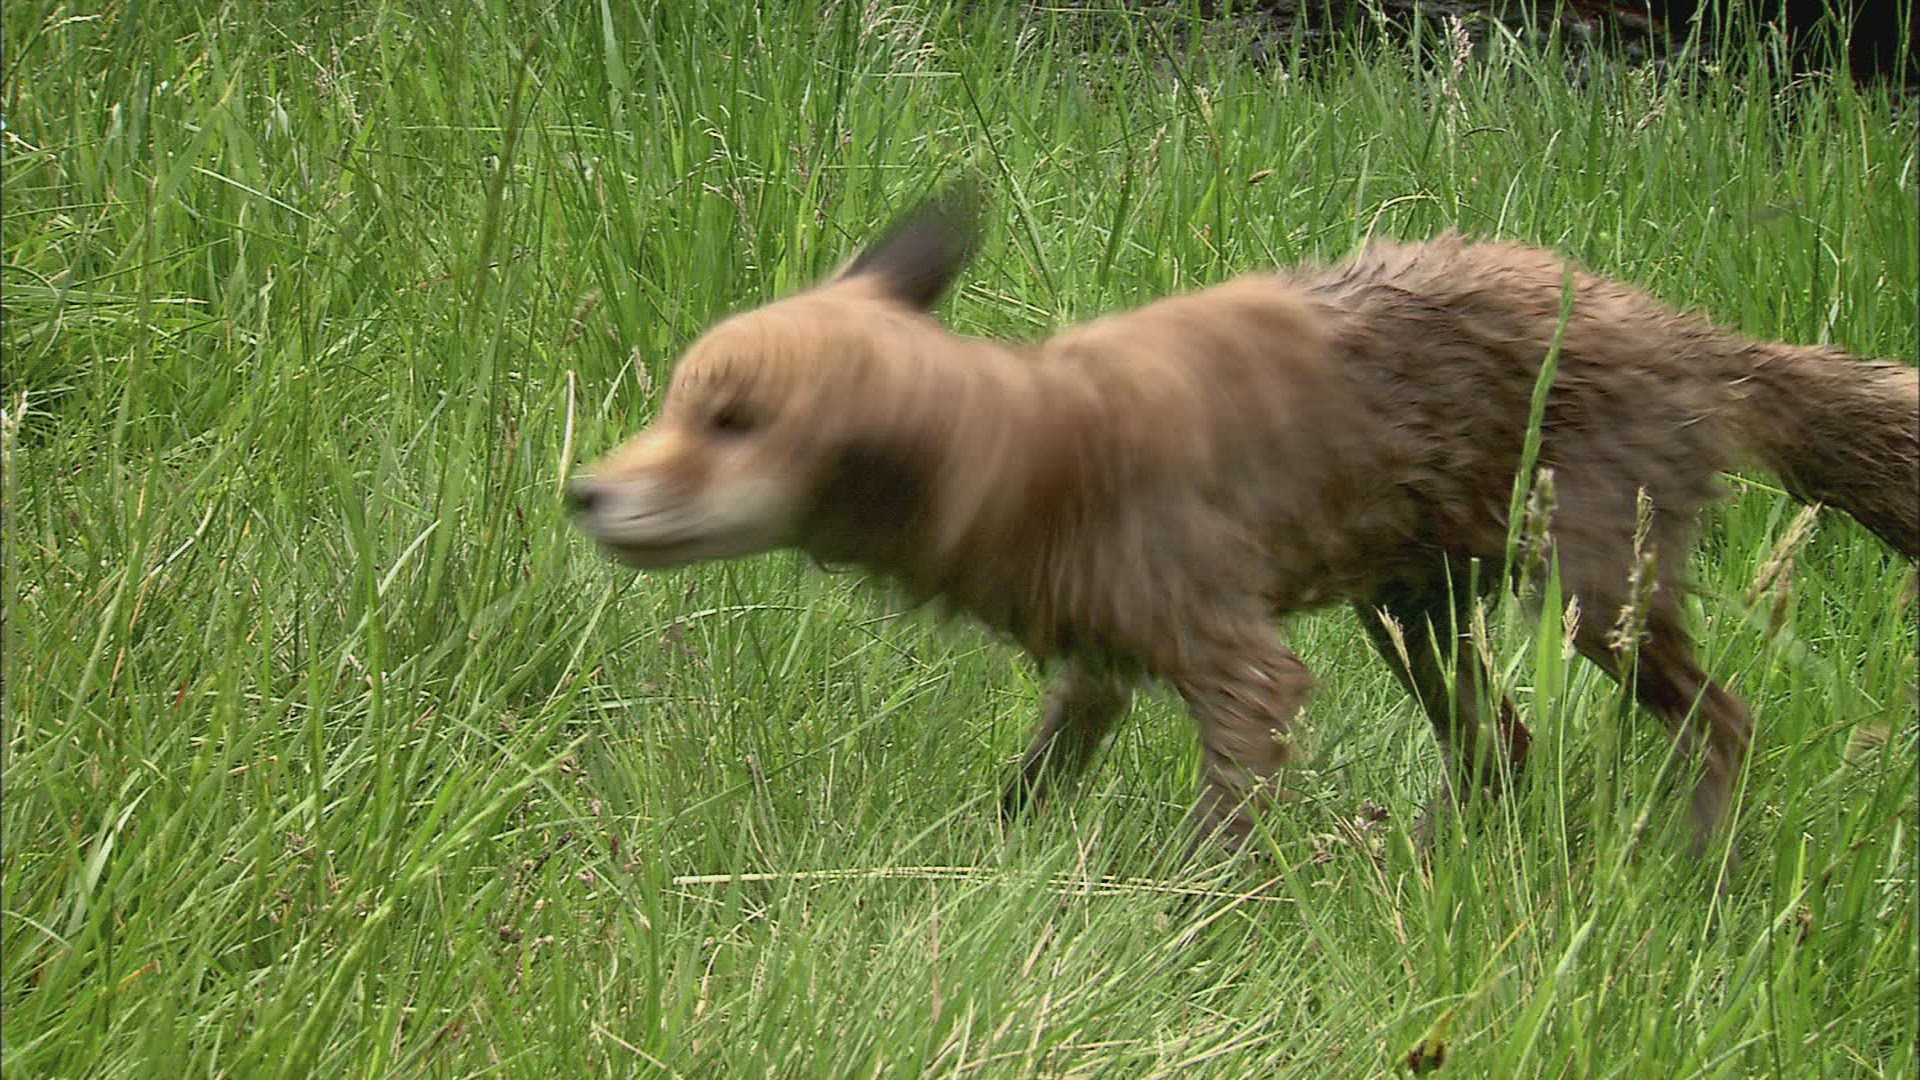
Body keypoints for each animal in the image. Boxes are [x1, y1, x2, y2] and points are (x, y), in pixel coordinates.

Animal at [569, 191, 1919, 860]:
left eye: (729, 422)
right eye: (676, 404)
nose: (581, 491)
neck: (1045, 456)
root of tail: (1697, 336)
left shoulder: (1245, 673)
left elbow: (1208, 859)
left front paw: (1175, 939)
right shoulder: (1098, 670)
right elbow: (1021, 797)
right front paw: (984, 871)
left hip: (1596, 611)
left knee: (1724, 722)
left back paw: (1693, 866)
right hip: (1412, 623)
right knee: (1508, 749)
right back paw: (1417, 864)